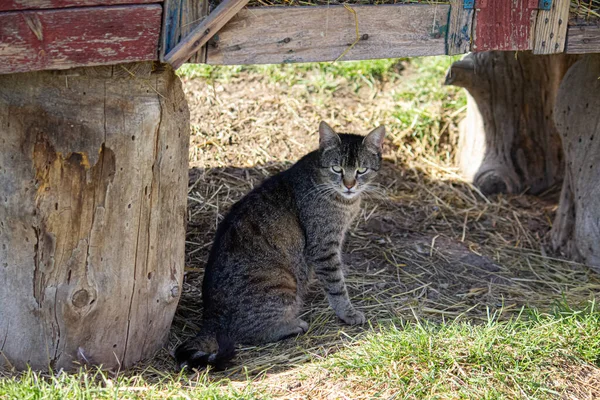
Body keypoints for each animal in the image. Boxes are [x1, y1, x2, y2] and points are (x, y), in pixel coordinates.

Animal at [176, 122, 386, 372]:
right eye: (337, 168)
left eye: (361, 170)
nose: (349, 185)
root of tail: (209, 317)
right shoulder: (324, 248)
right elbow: (337, 285)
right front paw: (347, 313)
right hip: (282, 284)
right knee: (249, 334)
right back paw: (292, 326)